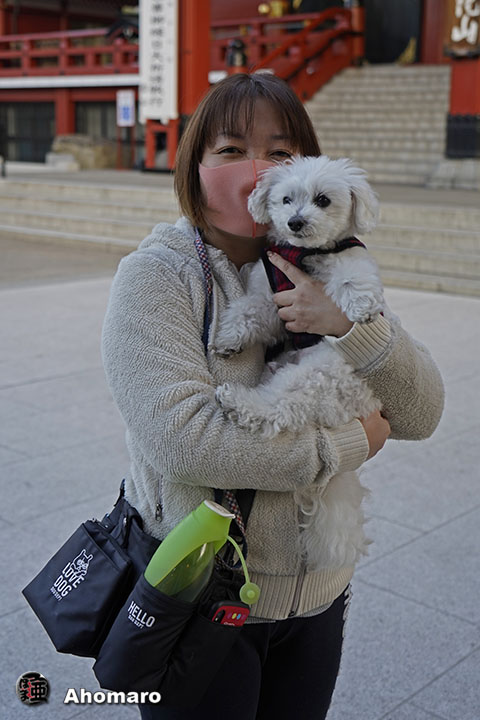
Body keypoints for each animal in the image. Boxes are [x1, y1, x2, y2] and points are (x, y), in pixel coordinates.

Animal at [212, 155, 389, 570]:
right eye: (286, 199)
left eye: (323, 200)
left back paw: (238, 401)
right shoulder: (273, 302)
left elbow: (353, 277)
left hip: (316, 377)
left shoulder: (350, 259)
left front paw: (361, 306)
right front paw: (229, 338)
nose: (295, 222)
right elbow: (250, 310)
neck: (306, 256)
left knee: (277, 410)